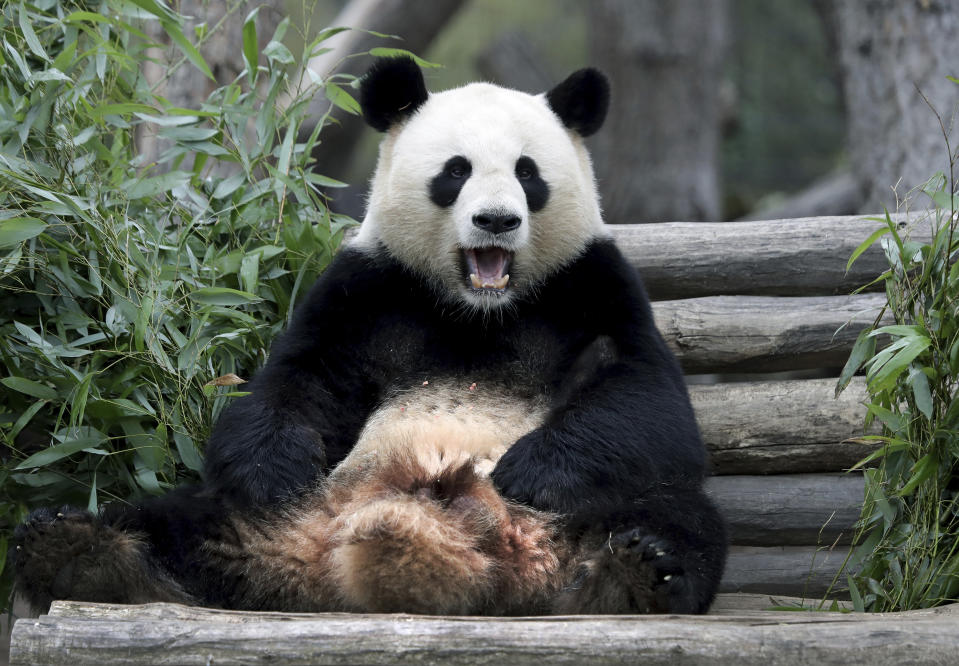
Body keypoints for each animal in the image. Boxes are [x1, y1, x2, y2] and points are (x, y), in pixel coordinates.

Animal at [13, 57, 728, 612]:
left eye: (529, 173)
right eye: (456, 171)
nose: (496, 221)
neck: (478, 310)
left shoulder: (592, 282)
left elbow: (649, 403)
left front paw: (530, 466)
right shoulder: (368, 287)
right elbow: (295, 379)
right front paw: (275, 466)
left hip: (583, 519)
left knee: (676, 520)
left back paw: (632, 576)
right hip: (264, 516)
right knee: (176, 524)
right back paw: (80, 552)